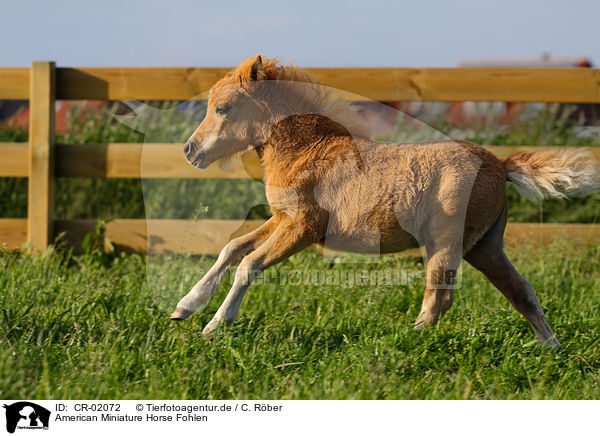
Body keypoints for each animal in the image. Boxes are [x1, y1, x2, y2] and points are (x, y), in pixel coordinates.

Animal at [170, 55, 600, 348]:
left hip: (446, 241)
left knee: (439, 298)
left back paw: (405, 344)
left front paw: (214, 326)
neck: (310, 150)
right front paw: (184, 307)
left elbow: (249, 264)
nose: (190, 151)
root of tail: (500, 163)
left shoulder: (304, 227)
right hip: (485, 246)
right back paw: (555, 351)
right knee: (521, 292)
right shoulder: (283, 218)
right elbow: (232, 248)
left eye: (222, 108)